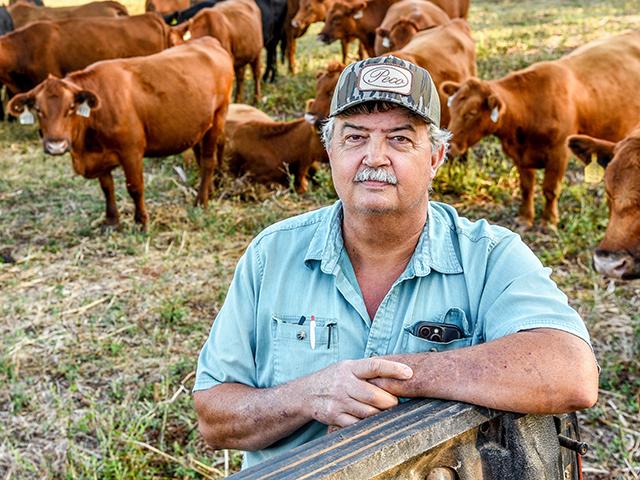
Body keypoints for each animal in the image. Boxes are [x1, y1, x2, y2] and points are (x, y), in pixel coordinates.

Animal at [7, 37, 234, 231]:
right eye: (38, 109)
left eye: (71, 107)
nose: (56, 145)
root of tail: (207, 41)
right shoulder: (98, 156)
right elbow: (107, 187)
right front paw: (111, 221)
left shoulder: (131, 151)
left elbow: (135, 187)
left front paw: (141, 222)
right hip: (200, 124)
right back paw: (213, 189)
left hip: (219, 114)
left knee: (208, 160)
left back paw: (201, 201)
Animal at [441, 31, 640, 228]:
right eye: (451, 108)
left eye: (471, 112)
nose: (450, 147)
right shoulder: (519, 156)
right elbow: (526, 187)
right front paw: (525, 218)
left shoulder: (559, 154)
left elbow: (550, 189)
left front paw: (549, 221)